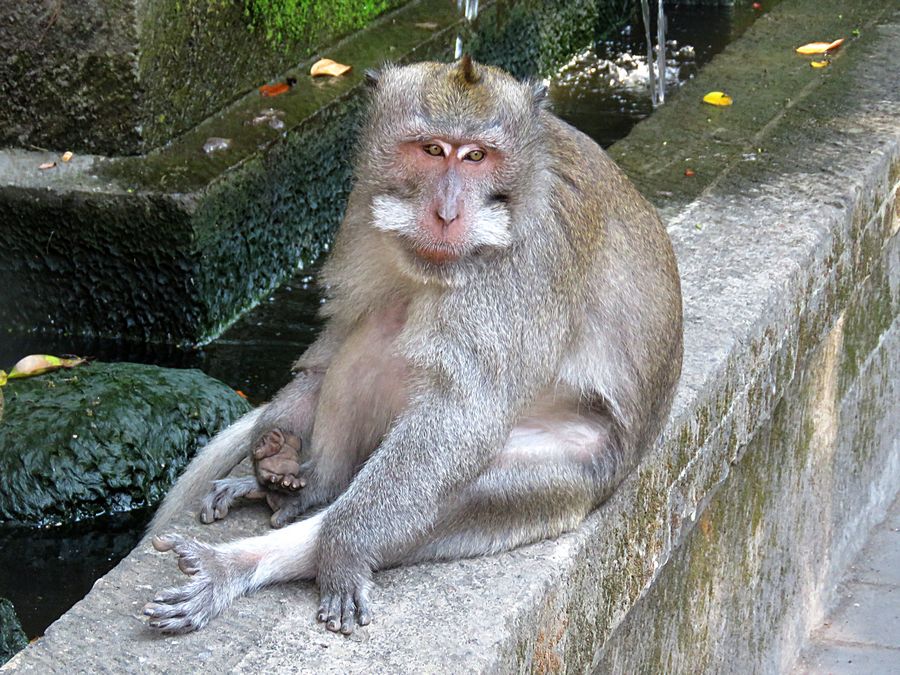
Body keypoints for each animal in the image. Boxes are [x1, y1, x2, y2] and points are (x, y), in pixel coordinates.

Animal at [142, 55, 683, 636]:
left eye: (476, 156)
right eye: (431, 150)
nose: (446, 214)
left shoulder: (527, 258)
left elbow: (459, 413)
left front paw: (343, 547)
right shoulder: (361, 207)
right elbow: (335, 340)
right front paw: (275, 442)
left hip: (569, 474)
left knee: (458, 488)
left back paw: (257, 560)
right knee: (376, 329)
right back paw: (312, 485)